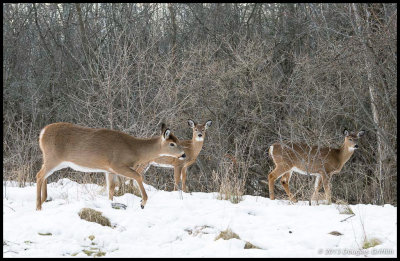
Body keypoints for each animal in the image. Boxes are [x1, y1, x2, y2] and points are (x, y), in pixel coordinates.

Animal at [35, 121, 186, 209]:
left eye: (178, 140)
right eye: (172, 144)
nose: (184, 154)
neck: (134, 149)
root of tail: (42, 133)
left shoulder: (109, 169)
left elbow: (111, 188)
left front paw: (110, 203)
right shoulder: (117, 164)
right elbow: (138, 176)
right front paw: (142, 202)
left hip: (51, 159)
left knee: (43, 175)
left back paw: (43, 200)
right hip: (53, 158)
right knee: (39, 175)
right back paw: (38, 206)